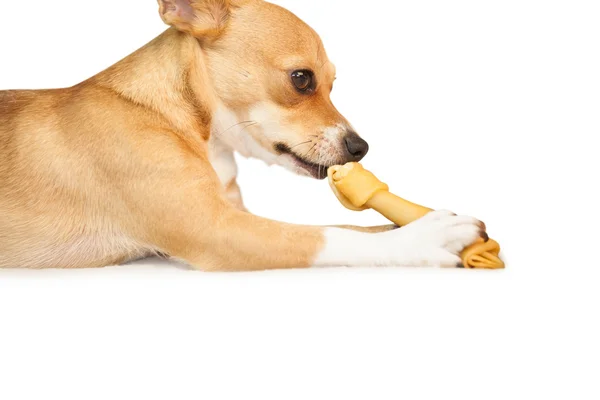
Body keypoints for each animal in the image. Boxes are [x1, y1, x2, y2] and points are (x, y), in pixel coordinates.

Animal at [0, 0, 486, 270]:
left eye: (333, 83)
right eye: (301, 79)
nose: (360, 148)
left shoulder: (237, 215)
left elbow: (344, 225)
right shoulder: (217, 230)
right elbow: (325, 237)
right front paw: (423, 237)